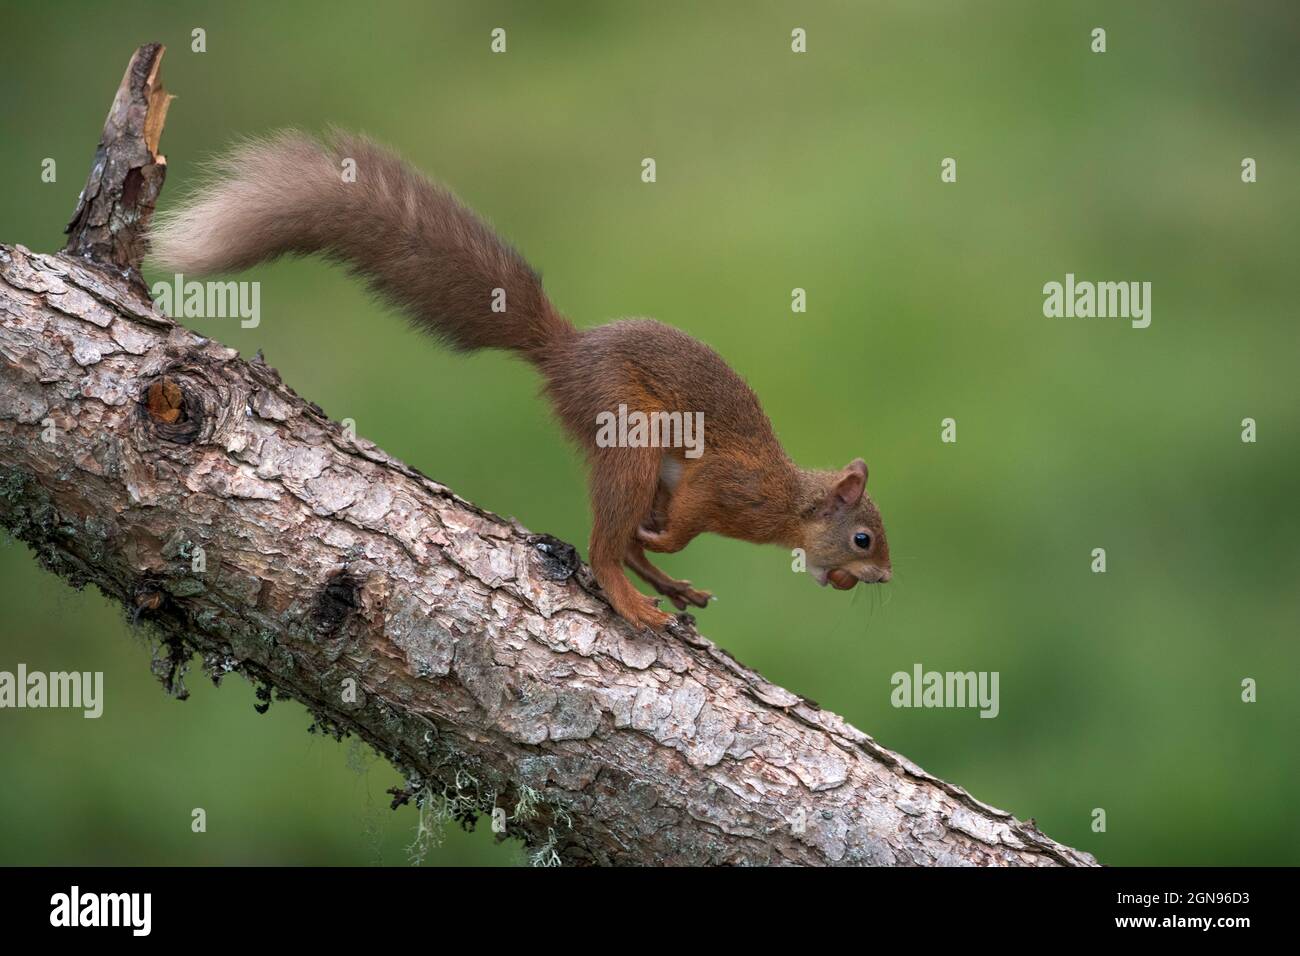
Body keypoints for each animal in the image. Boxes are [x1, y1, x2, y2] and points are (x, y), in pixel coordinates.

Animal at [147, 130, 889, 632]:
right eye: (864, 538)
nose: (878, 579)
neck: (789, 502)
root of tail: (565, 354)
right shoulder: (727, 486)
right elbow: (687, 517)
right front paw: (668, 543)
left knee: (619, 541)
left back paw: (669, 587)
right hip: (631, 433)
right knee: (606, 547)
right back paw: (636, 596)